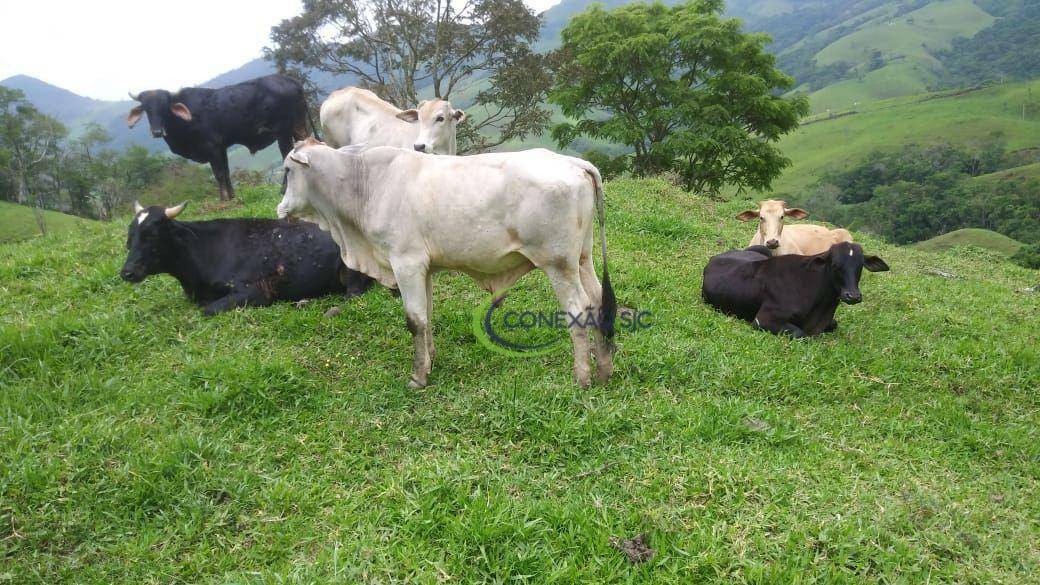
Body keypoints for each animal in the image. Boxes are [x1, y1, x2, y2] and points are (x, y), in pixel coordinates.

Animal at [119, 201, 372, 314]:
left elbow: (207, 310)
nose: (127, 272)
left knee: (353, 294)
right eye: (130, 235)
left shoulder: (256, 291)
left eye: (152, 235)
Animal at [126, 73, 312, 201]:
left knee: (287, 158)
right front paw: (232, 196)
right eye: (146, 109)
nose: (157, 131)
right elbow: (227, 172)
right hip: (298, 128)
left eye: (164, 106)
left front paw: (223, 199)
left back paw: (284, 190)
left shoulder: (211, 146)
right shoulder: (221, 147)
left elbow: (219, 173)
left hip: (283, 133)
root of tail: (291, 81)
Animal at [278, 137, 615, 387]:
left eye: (287, 171)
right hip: (582, 259)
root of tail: (573, 162)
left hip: (558, 265)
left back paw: (582, 377)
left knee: (578, 309)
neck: (365, 183)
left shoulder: (405, 262)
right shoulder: (423, 269)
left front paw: (418, 377)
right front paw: (429, 360)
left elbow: (414, 319)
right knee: (598, 301)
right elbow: (426, 315)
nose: (281, 207)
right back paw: (604, 368)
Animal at [698, 239, 886, 335]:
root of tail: (715, 257)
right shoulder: (763, 320)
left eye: (860, 266)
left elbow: (834, 324)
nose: (852, 295)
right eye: (835, 265)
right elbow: (800, 333)